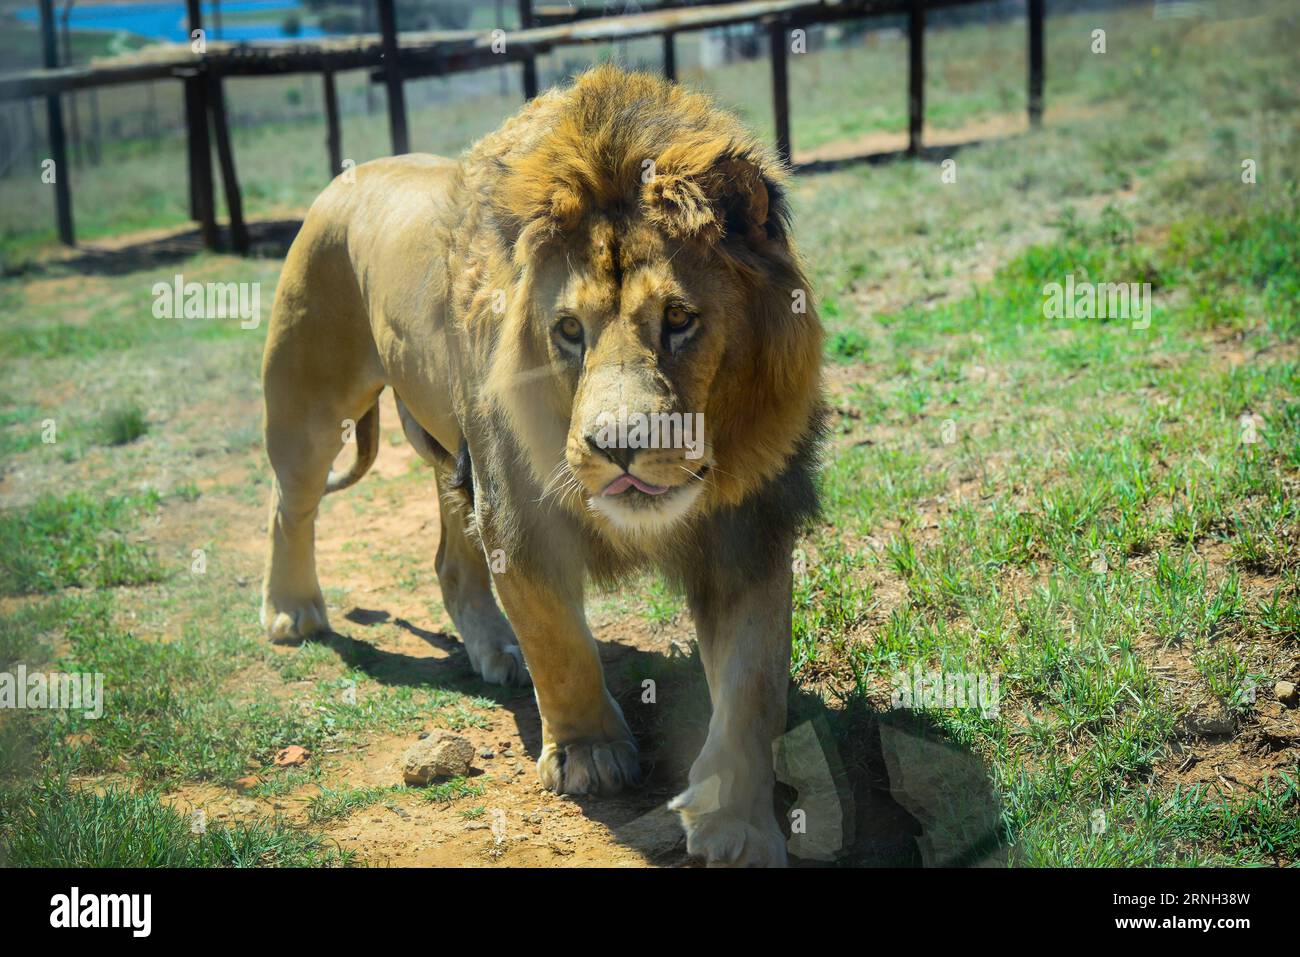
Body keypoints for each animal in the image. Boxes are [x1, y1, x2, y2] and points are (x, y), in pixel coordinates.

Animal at [261, 63, 821, 863]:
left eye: (680, 319)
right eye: (568, 331)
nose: (617, 446)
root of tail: (349, 176)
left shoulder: (749, 529)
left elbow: (753, 687)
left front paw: (738, 826)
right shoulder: (517, 514)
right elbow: (558, 640)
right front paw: (589, 753)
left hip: (450, 454)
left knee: (450, 562)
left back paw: (494, 650)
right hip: (309, 406)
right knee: (290, 505)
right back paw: (293, 611)